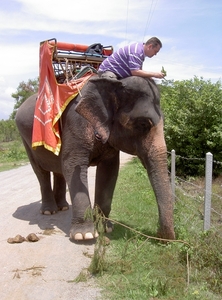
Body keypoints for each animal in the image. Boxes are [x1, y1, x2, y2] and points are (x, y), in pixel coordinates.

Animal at [15, 75, 175, 241]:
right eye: (143, 124)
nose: (159, 235)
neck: (113, 82)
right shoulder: (75, 122)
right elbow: (73, 166)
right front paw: (84, 235)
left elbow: (109, 171)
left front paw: (104, 228)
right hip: (26, 141)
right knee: (41, 172)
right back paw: (49, 211)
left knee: (58, 171)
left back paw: (63, 207)